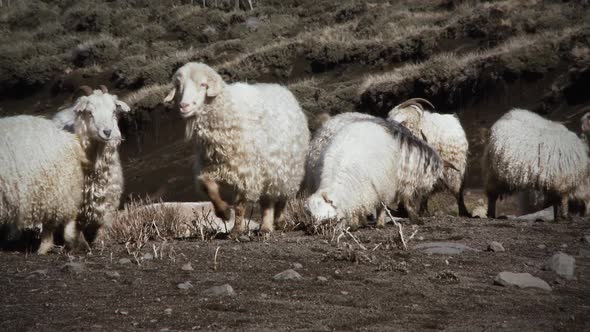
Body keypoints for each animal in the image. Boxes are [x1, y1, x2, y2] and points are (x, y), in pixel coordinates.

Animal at [53, 84, 131, 243]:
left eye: (113, 111)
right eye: (90, 112)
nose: (107, 132)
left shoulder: (109, 196)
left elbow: (105, 223)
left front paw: (100, 240)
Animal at [162, 61, 310, 236]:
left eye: (203, 84)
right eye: (179, 86)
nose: (184, 106)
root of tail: (282, 90)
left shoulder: (246, 170)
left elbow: (240, 205)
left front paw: (237, 230)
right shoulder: (210, 165)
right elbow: (208, 186)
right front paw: (224, 212)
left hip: (284, 168)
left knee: (277, 198)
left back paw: (273, 223)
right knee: (268, 200)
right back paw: (266, 226)